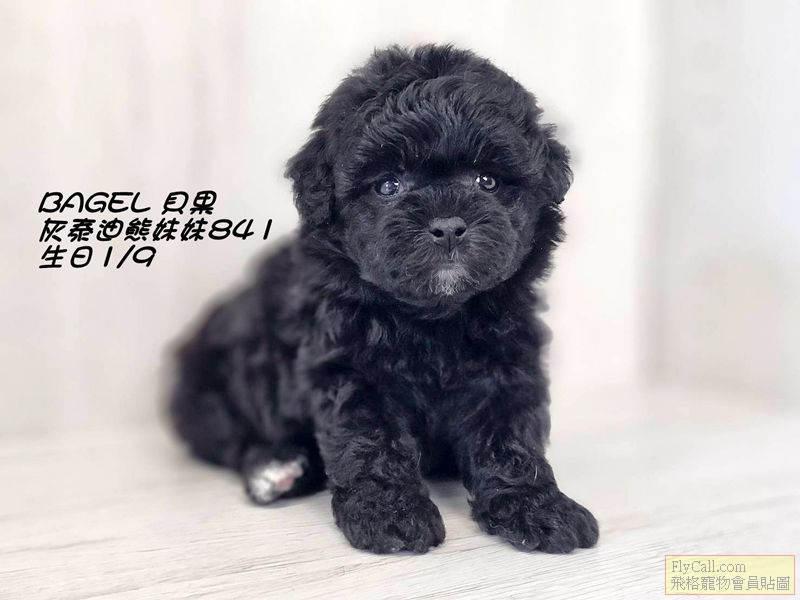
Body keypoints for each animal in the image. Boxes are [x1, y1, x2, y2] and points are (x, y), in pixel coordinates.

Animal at [169, 44, 598, 554]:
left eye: (487, 182)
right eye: (389, 185)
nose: (448, 225)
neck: (434, 317)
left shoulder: (507, 365)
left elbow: (510, 438)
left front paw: (537, 506)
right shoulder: (352, 368)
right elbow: (372, 441)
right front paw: (390, 516)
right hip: (211, 390)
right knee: (231, 436)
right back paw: (275, 468)